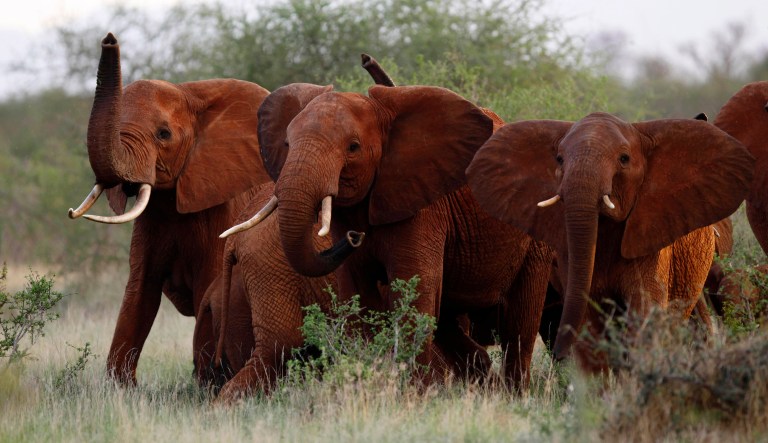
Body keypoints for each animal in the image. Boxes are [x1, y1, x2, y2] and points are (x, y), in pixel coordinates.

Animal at [66, 33, 272, 385]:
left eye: (163, 134)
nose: (109, 39)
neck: (189, 92)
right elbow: (139, 291)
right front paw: (121, 389)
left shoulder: (223, 207)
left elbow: (209, 287)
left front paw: (205, 384)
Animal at [225, 82, 554, 389]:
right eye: (286, 143)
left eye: (353, 147)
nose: (354, 238)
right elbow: (358, 298)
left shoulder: (422, 205)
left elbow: (414, 294)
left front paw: (415, 396)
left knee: (521, 324)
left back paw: (514, 394)